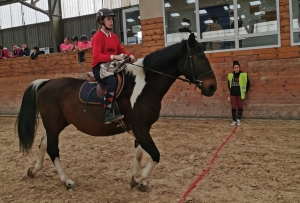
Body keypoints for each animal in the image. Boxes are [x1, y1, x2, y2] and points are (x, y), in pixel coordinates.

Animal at [15, 32, 216, 191]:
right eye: (198, 56)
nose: (212, 87)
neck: (144, 85)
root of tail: (46, 82)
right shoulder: (140, 128)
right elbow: (155, 155)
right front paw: (137, 178)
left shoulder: (141, 129)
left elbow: (139, 154)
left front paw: (137, 180)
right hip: (54, 124)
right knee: (52, 149)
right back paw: (68, 181)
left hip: (56, 125)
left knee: (43, 144)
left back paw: (34, 170)